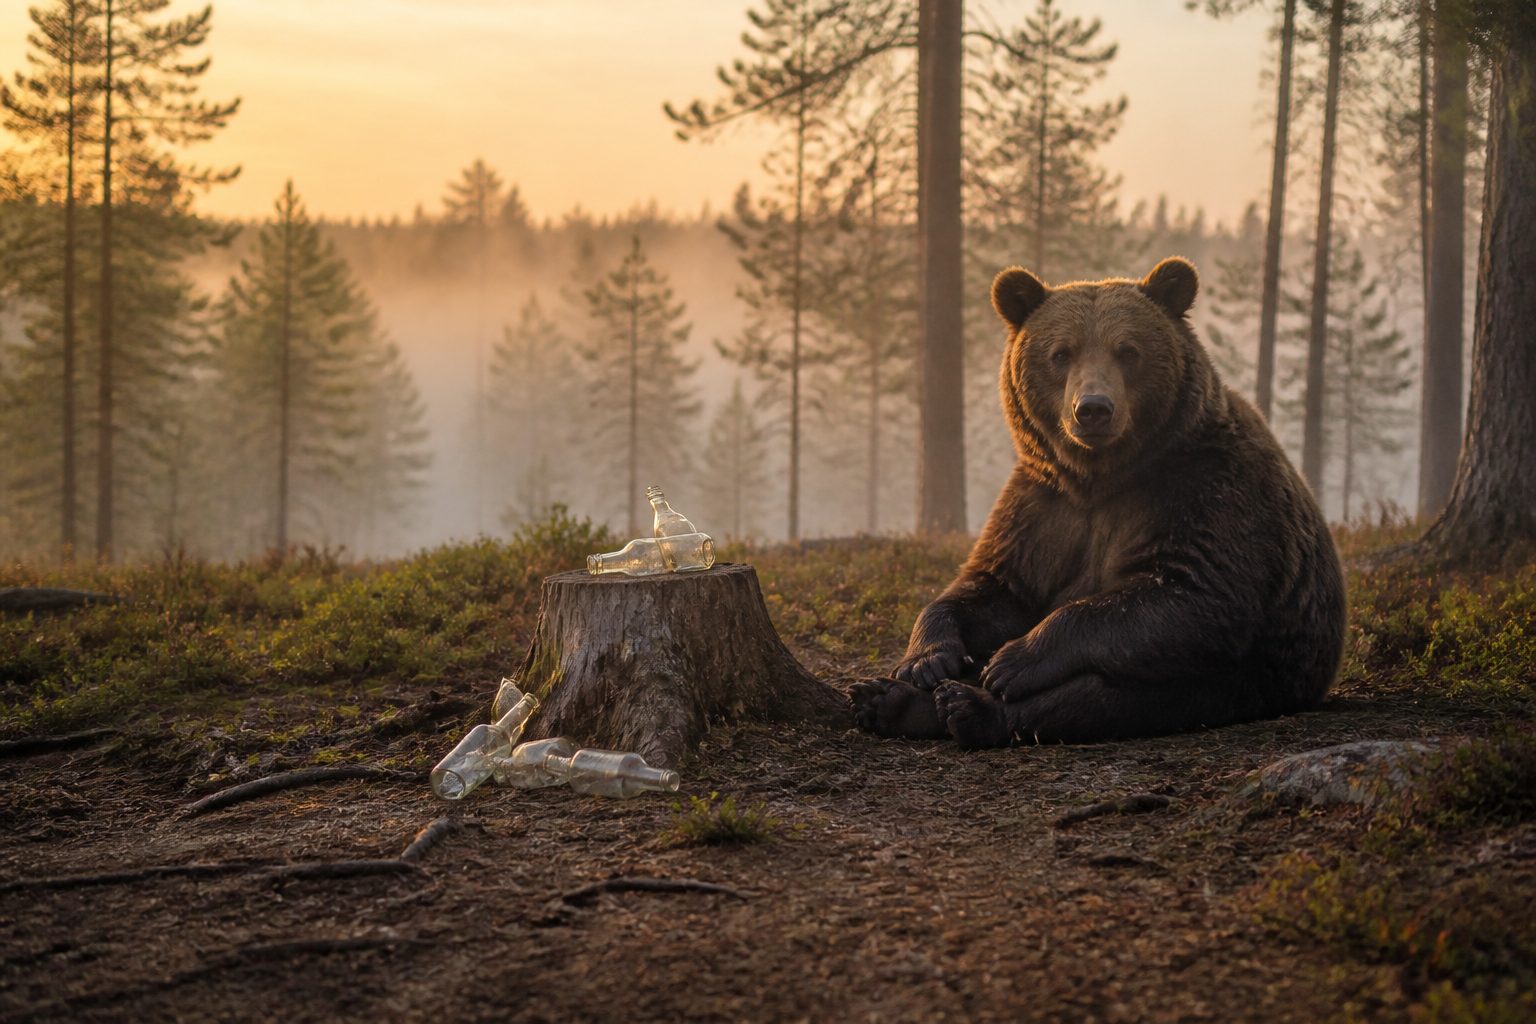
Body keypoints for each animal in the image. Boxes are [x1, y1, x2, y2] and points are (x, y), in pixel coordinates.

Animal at [849, 257, 1347, 749]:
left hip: (1246, 679)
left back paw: (968, 706)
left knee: (1109, 696)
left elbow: (1193, 592)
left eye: (1127, 351)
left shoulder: (1203, 491)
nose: (1092, 408)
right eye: (1061, 353)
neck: (1101, 477)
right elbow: (994, 585)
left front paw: (1014, 661)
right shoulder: (1043, 506)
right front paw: (926, 660)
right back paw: (885, 697)